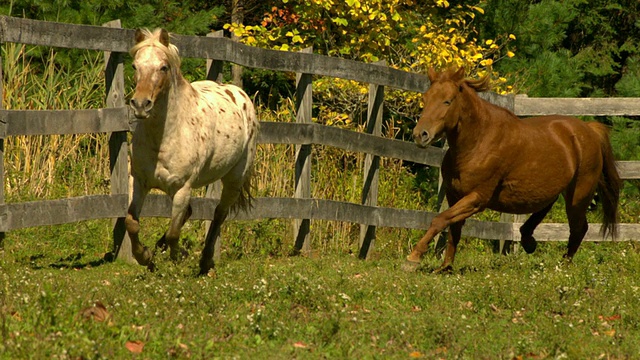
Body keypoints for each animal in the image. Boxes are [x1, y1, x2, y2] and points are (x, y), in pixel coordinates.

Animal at [404, 67, 620, 272]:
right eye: (425, 99)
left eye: (447, 101)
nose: (420, 135)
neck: (477, 143)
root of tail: (589, 129)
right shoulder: (454, 195)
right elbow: (453, 227)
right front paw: (445, 267)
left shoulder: (477, 198)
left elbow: (440, 220)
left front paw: (413, 258)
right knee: (547, 207)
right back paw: (528, 241)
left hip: (578, 197)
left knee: (578, 228)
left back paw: (562, 266)